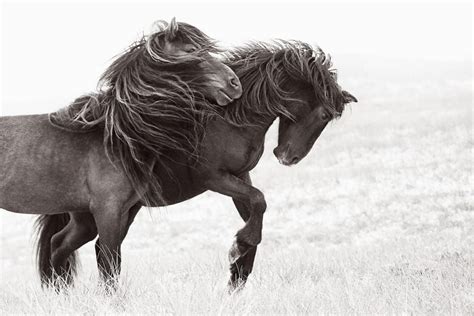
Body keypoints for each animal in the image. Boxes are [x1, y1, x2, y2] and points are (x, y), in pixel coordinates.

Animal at [0, 18, 243, 288]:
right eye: (191, 51)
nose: (234, 83)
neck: (116, 138)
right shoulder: (108, 211)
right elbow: (108, 261)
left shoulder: (122, 212)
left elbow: (112, 262)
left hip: (81, 219)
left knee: (58, 245)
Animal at [31, 40, 356, 292]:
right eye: (325, 114)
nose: (288, 157)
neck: (228, 117)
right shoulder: (214, 178)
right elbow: (259, 203)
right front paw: (237, 252)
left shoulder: (240, 176)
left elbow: (255, 213)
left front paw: (237, 274)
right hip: (100, 212)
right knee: (75, 246)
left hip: (114, 212)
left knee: (79, 246)